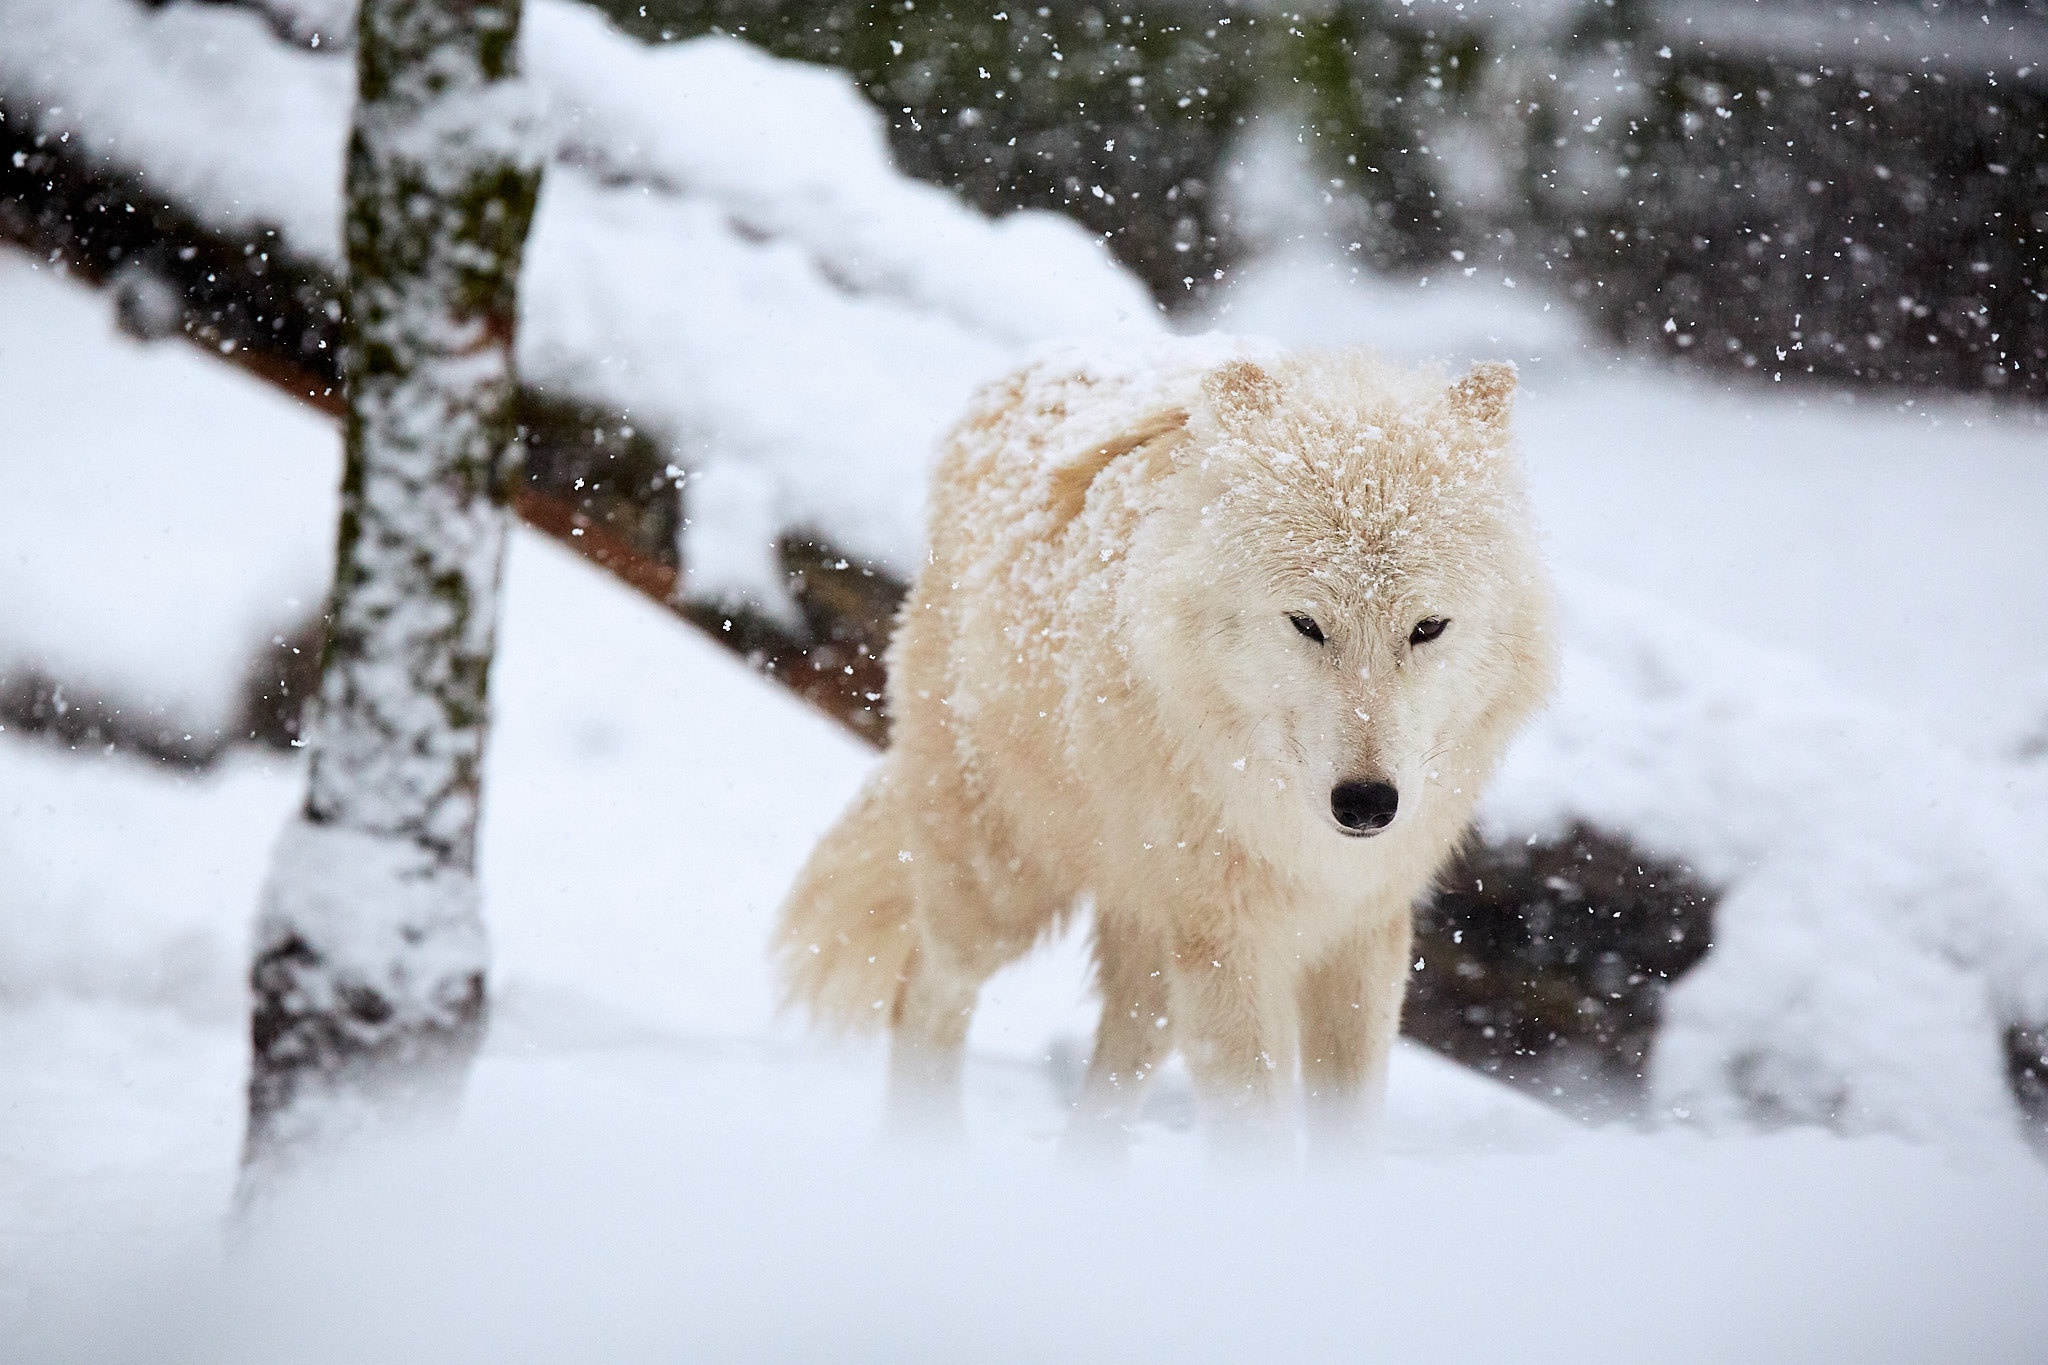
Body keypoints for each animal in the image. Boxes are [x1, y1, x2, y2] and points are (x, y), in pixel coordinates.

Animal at [774, 341, 1556, 1162]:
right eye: (1307, 624)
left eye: (1427, 627)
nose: (1369, 804)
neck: (1297, 841)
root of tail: (1019, 374)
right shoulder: (1230, 941)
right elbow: (1256, 1142)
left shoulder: (1361, 931)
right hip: (1004, 887)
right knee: (923, 993)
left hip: (1151, 951)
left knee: (1111, 1077)